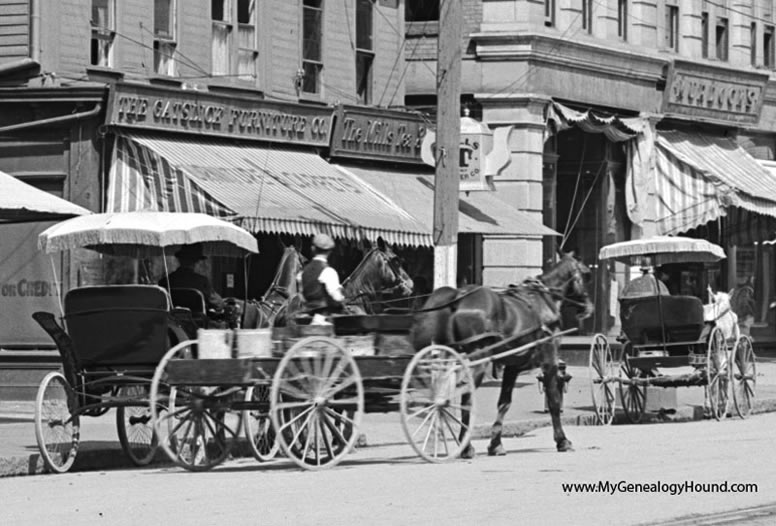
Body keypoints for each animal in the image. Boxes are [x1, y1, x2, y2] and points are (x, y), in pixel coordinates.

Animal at [410, 253, 592, 458]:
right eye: (586, 274)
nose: (588, 307)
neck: (545, 300)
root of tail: (458, 296)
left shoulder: (513, 366)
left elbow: (504, 403)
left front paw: (495, 444)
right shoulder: (549, 359)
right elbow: (553, 400)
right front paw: (562, 440)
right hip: (478, 359)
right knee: (466, 397)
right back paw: (466, 446)